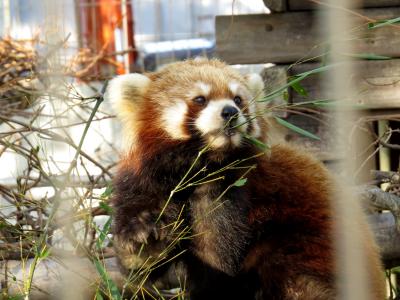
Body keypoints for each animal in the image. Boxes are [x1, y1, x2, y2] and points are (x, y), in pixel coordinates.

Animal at [106, 59, 384, 300]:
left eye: (238, 99)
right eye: (200, 99)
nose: (230, 112)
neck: (197, 168)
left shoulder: (248, 188)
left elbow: (222, 254)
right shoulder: (146, 182)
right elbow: (142, 266)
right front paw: (144, 242)